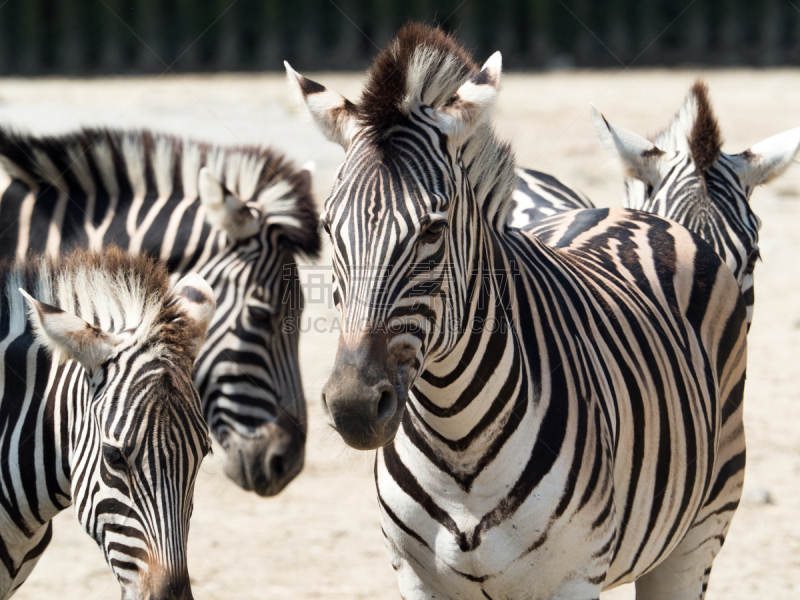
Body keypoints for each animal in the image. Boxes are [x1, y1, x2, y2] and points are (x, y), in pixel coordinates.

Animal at [290, 23, 752, 600]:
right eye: (328, 228)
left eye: (432, 230)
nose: (353, 406)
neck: (457, 439)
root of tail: (631, 213)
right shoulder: (414, 576)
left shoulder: (575, 576)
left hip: (700, 530)